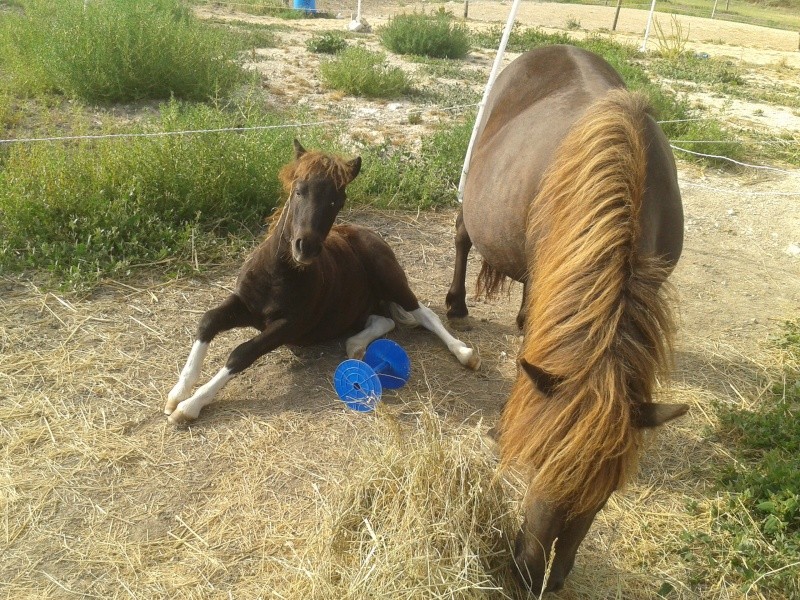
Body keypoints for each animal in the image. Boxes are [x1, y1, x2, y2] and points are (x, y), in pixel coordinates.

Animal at [166, 139, 478, 424]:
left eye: (338, 200)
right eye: (298, 190)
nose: (306, 248)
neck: (278, 273)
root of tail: (369, 234)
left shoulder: (289, 325)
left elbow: (242, 353)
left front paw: (190, 406)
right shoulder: (245, 303)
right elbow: (208, 320)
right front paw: (178, 393)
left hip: (390, 278)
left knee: (423, 313)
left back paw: (464, 352)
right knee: (384, 319)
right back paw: (355, 345)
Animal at [444, 47, 688, 592]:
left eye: (608, 491)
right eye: (537, 464)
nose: (537, 576)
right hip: (473, 202)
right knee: (463, 238)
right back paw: (456, 304)